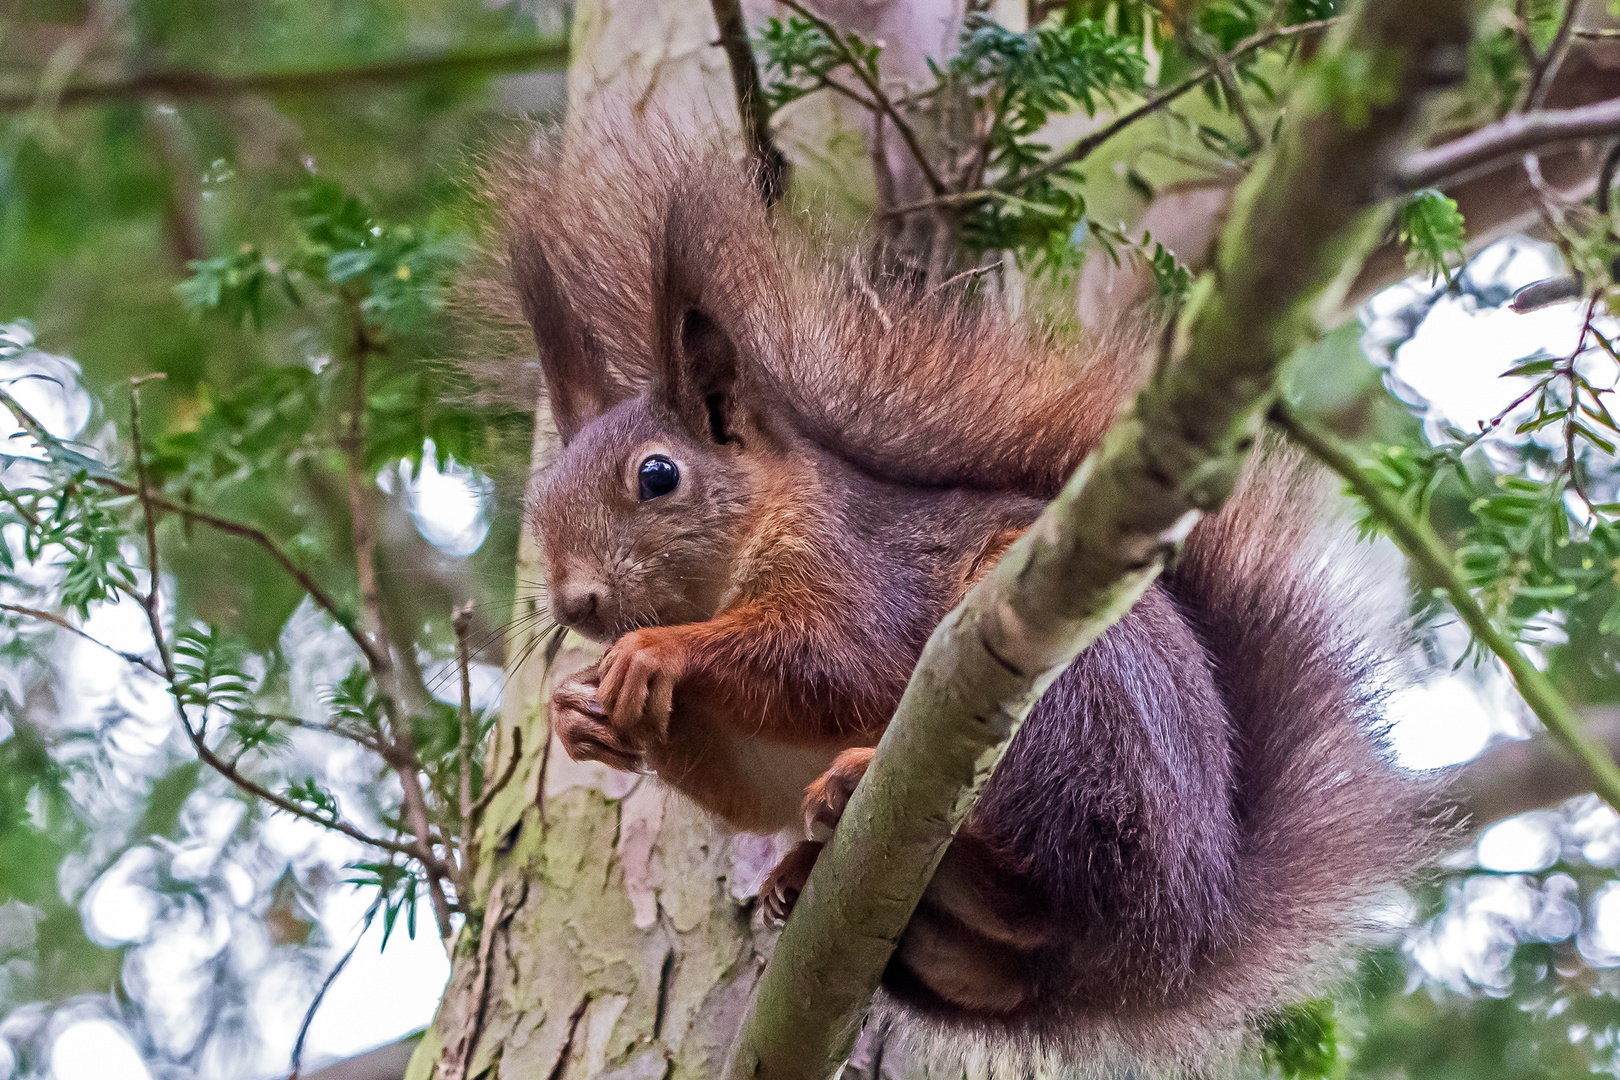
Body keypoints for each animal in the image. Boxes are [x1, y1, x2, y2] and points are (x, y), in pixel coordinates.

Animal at [498, 122, 1438, 1068]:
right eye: (539, 504)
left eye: (658, 476)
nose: (576, 604)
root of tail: (1182, 935)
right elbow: (746, 789)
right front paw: (578, 715)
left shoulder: (857, 570)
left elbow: (832, 663)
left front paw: (657, 653)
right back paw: (804, 874)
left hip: (1078, 713)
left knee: (1046, 880)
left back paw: (881, 804)